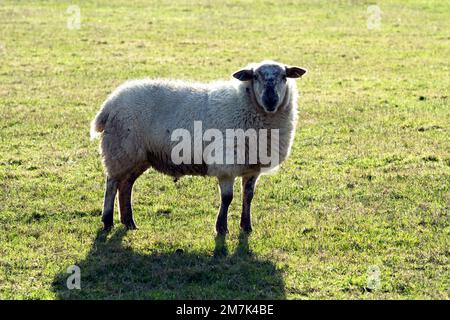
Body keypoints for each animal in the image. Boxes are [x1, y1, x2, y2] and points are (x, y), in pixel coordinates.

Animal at [91, 60, 310, 234]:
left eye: (284, 76)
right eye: (255, 76)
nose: (271, 100)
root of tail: (109, 104)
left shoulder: (252, 166)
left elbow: (248, 196)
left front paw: (246, 227)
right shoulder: (226, 164)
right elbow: (227, 198)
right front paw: (221, 228)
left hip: (139, 155)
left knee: (126, 185)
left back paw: (129, 222)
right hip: (120, 150)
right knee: (112, 183)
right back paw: (108, 221)